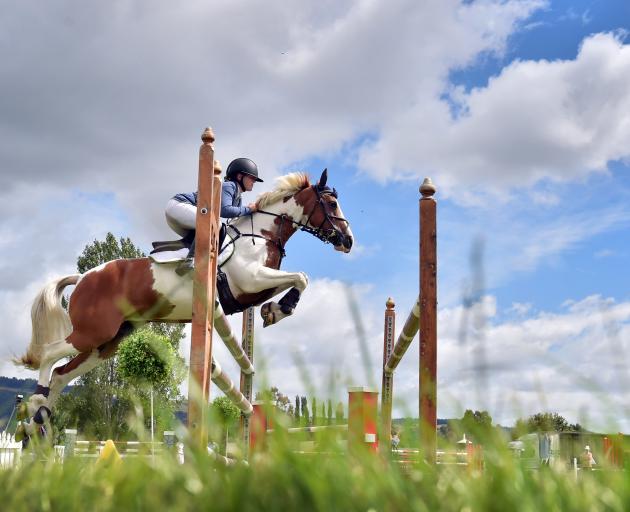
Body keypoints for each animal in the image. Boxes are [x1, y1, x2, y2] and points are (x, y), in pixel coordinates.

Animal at [13, 170, 356, 442]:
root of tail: (84, 277)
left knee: (61, 374)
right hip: (93, 332)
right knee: (49, 354)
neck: (261, 234)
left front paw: (275, 310)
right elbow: (301, 277)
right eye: (331, 204)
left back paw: (37, 423)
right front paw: (281, 309)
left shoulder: (253, 289)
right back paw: (34, 407)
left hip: (107, 343)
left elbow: (296, 280)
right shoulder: (250, 280)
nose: (348, 241)